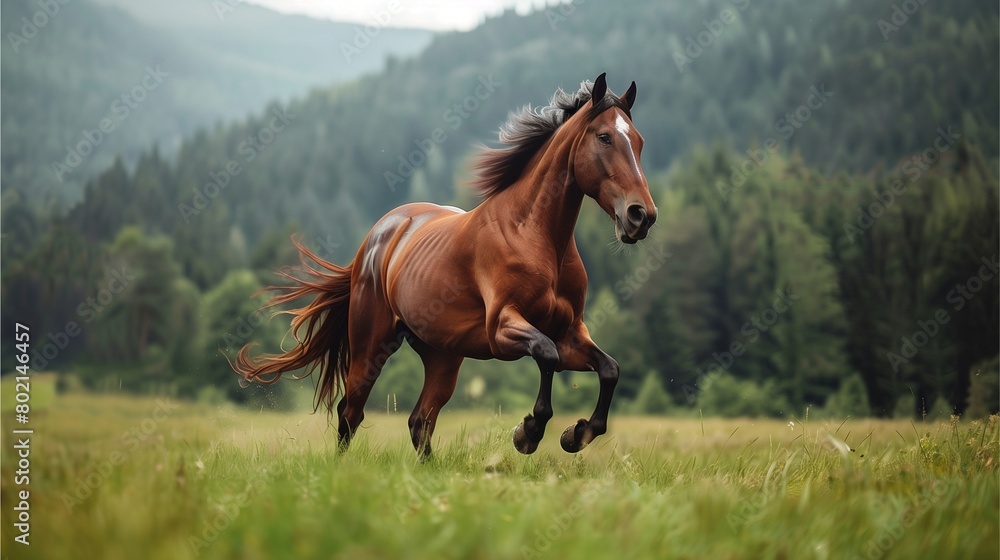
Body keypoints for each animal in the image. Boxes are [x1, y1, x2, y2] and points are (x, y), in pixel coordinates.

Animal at [231, 72, 656, 457]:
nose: (641, 216)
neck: (536, 237)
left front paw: (577, 434)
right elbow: (546, 354)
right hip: (371, 347)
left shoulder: (570, 333)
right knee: (351, 412)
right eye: (604, 137)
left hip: (443, 356)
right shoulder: (504, 327)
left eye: (639, 142)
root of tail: (377, 237)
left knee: (420, 420)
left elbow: (610, 369)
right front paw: (528, 433)